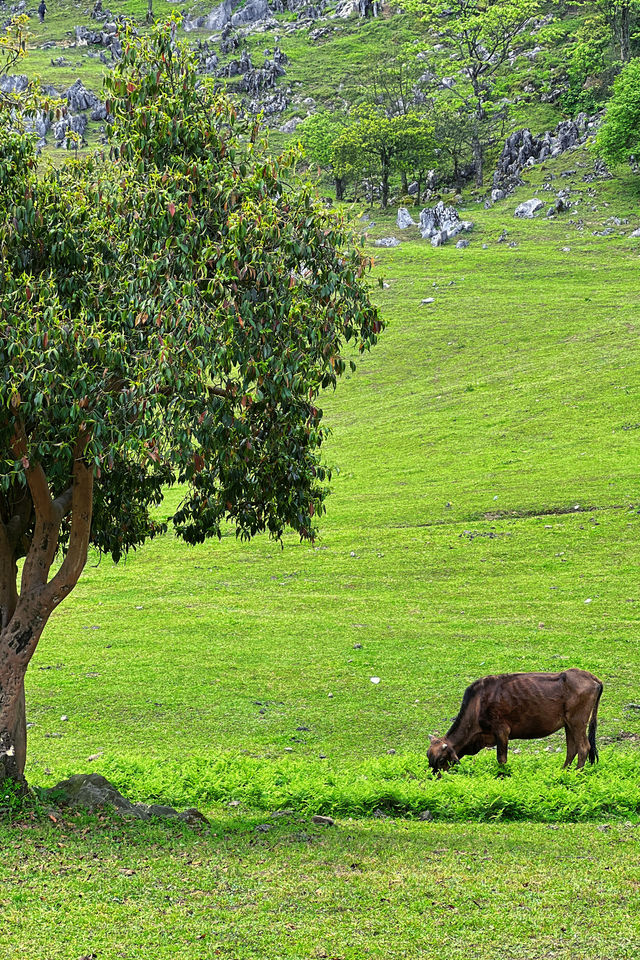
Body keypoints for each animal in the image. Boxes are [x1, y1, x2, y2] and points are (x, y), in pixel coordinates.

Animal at [428, 672, 604, 776]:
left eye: (441, 760)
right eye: (429, 758)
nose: (434, 778)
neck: (477, 705)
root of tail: (591, 677)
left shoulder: (501, 730)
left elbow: (501, 759)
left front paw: (502, 776)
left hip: (578, 721)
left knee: (583, 748)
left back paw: (577, 774)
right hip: (568, 724)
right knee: (572, 749)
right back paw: (563, 772)